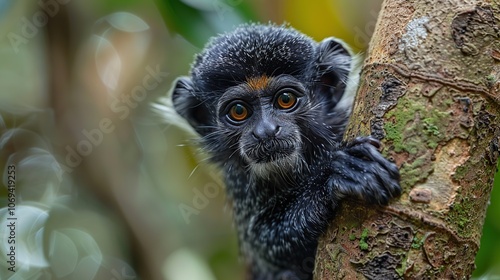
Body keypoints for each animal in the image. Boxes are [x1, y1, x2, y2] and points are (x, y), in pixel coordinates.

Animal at [170, 24, 400, 280]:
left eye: (285, 99)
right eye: (239, 111)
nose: (266, 131)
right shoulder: (240, 186)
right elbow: (265, 246)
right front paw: (332, 178)